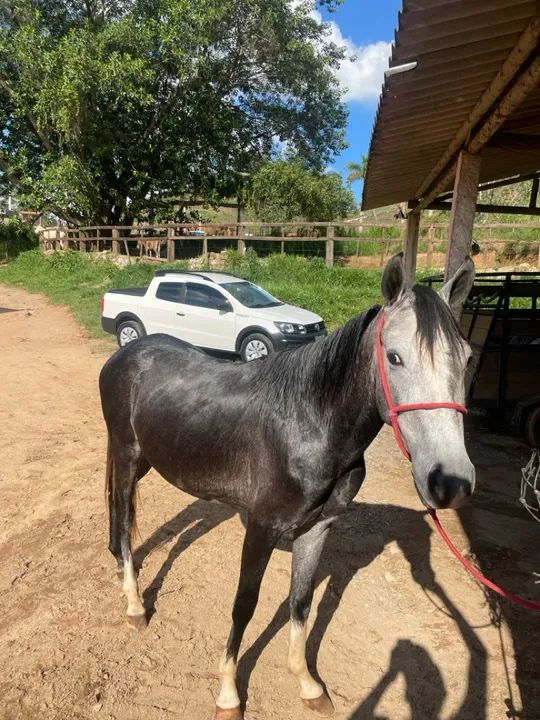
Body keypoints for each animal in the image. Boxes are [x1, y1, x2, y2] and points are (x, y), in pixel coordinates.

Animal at [99, 253, 476, 719]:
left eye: (467, 358)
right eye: (395, 357)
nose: (451, 481)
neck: (307, 423)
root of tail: (127, 352)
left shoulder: (317, 529)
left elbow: (300, 603)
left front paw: (308, 684)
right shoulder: (261, 529)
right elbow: (244, 606)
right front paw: (228, 693)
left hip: (148, 464)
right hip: (128, 457)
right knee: (122, 516)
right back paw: (134, 603)